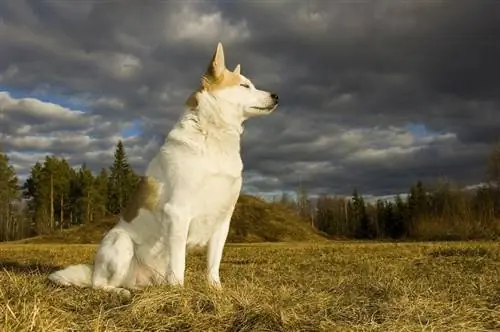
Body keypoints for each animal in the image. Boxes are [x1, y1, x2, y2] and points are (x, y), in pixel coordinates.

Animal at [48, 42, 280, 296]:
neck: (213, 138)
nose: (276, 96)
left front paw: (215, 290)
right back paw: (120, 292)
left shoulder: (222, 220)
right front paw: (178, 292)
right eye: (244, 85)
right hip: (121, 242)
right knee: (100, 284)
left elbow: (213, 264)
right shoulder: (178, 212)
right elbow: (178, 263)